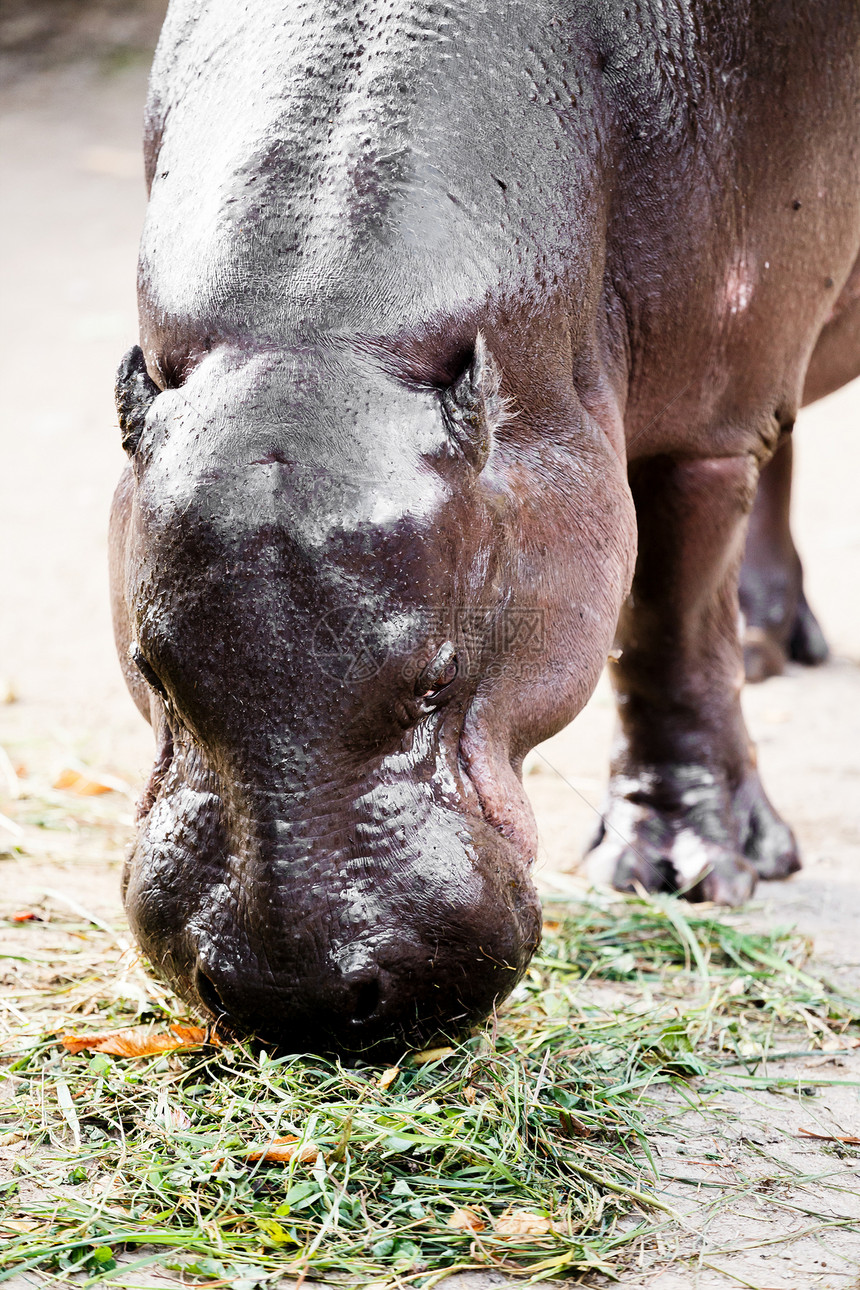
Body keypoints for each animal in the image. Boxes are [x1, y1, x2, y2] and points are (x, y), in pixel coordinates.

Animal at [110, 0, 856, 1052]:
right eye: (151, 670)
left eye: (439, 677)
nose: (296, 997)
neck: (323, 336)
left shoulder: (707, 425)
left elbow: (669, 632)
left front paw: (685, 868)